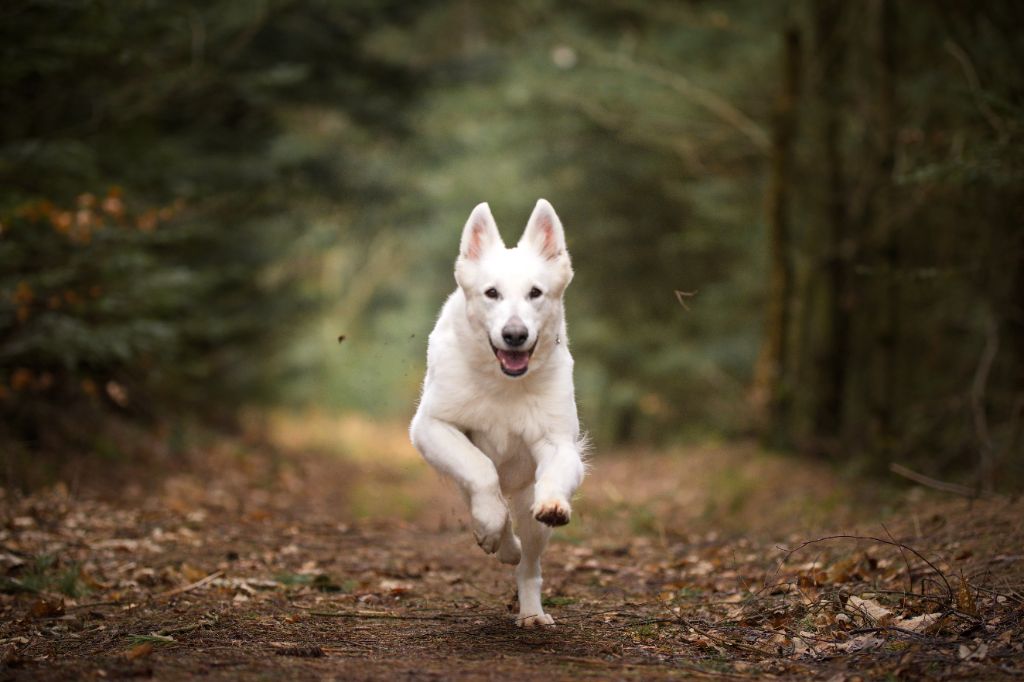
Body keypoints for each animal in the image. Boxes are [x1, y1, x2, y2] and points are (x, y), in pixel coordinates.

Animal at [407, 199, 585, 622]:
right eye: (492, 293)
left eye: (535, 293)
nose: (515, 335)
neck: (504, 382)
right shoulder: (431, 426)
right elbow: (481, 468)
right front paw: (489, 525)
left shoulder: (558, 441)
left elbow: (554, 475)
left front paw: (554, 504)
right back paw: (497, 537)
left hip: (530, 513)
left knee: (529, 565)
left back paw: (531, 610)